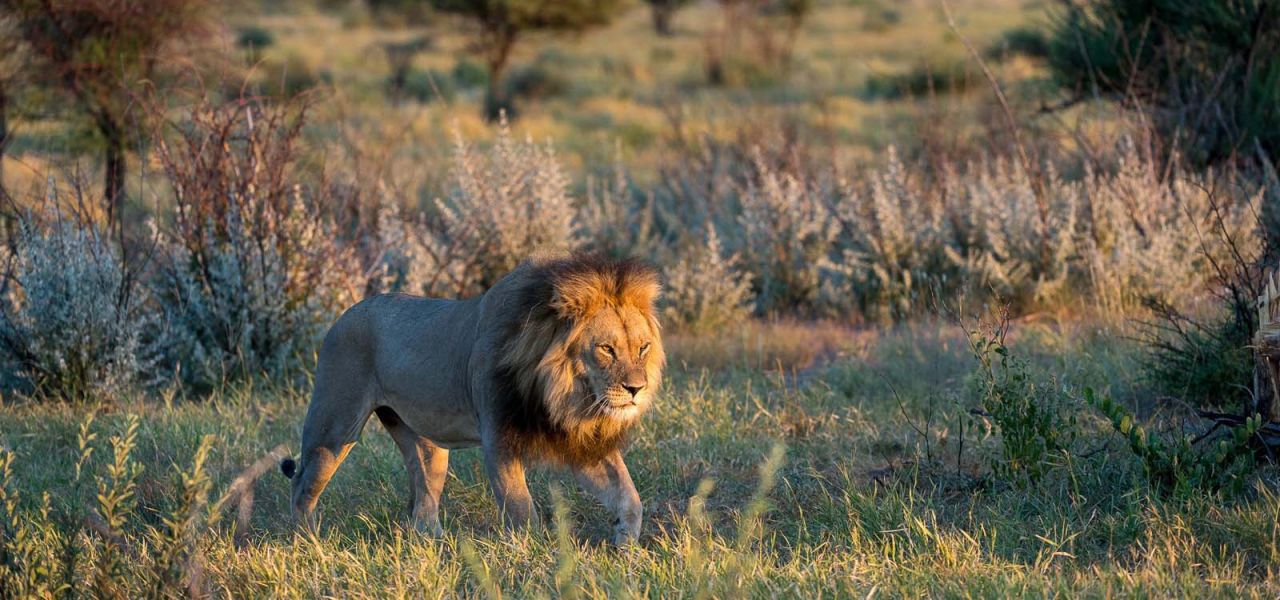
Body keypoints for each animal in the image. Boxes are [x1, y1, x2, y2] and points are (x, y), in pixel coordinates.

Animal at [276, 252, 665, 542]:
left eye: (643, 348)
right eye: (606, 349)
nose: (636, 389)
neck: (562, 395)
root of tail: (343, 315)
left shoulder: (578, 440)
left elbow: (628, 496)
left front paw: (626, 545)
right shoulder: (499, 438)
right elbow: (520, 507)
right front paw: (534, 557)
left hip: (425, 444)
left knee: (422, 505)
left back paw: (437, 546)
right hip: (334, 427)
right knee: (301, 486)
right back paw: (311, 544)